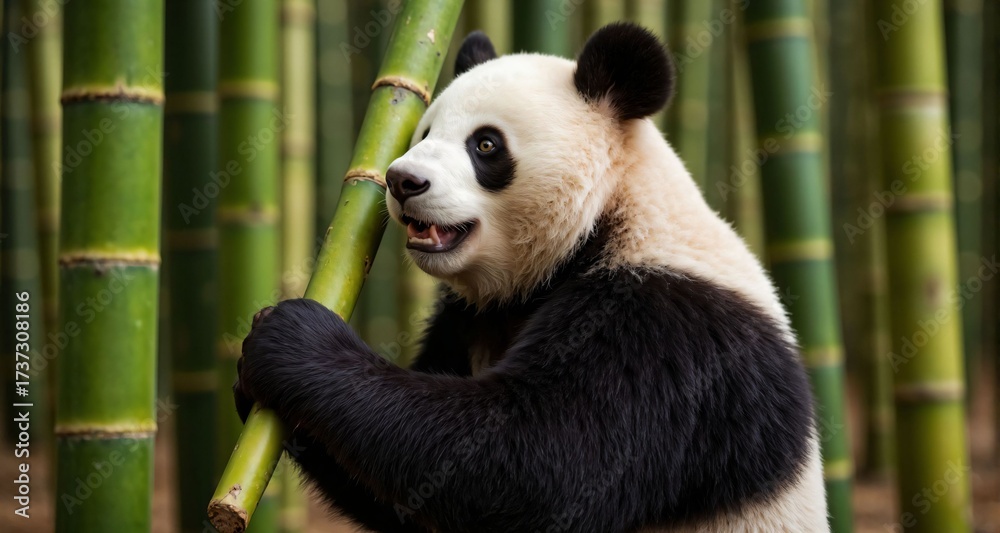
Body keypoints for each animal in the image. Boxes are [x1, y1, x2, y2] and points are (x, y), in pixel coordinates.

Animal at [234, 22, 829, 533]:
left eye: (486, 144)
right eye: (423, 132)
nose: (403, 181)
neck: (603, 218)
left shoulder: (668, 329)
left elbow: (539, 462)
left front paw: (293, 338)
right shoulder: (468, 316)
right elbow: (409, 499)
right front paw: (250, 365)